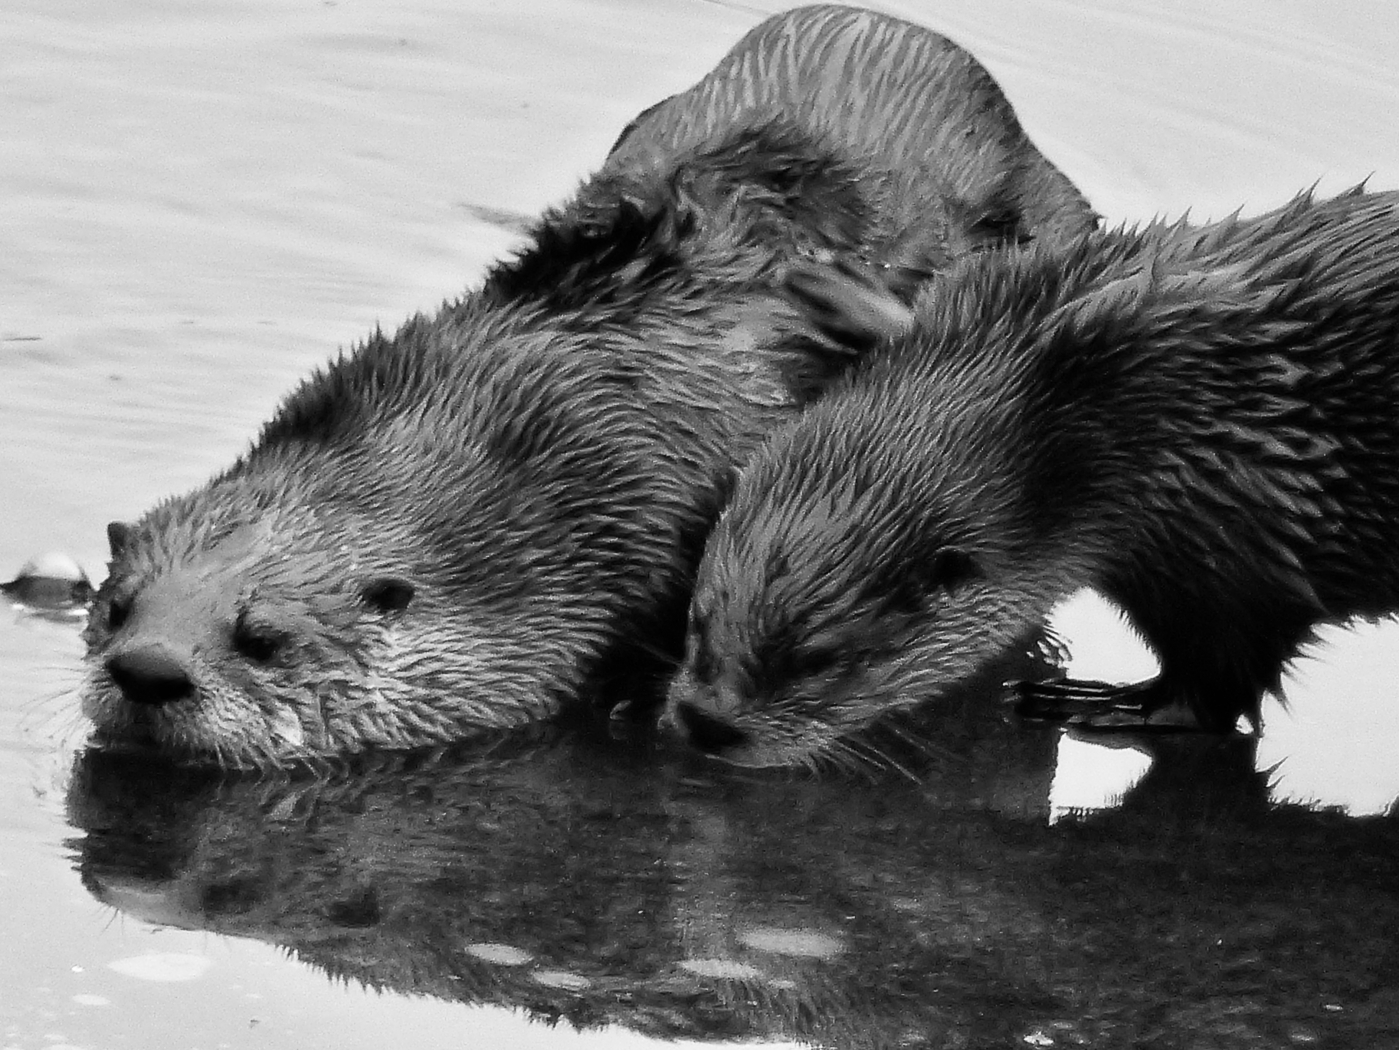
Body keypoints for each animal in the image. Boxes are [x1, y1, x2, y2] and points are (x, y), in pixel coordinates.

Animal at [663, 184, 1399, 766]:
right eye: (697, 617)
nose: (708, 723)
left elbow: (1215, 688)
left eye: (819, 660)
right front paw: (834, 292)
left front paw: (1097, 702)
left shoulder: (1237, 550)